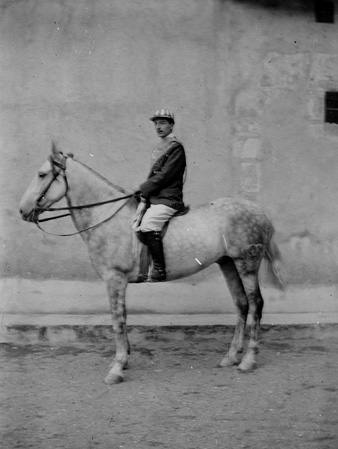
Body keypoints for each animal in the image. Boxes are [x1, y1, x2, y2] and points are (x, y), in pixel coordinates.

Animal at [19, 142, 286, 384]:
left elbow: (118, 320)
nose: (22, 210)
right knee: (241, 304)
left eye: (42, 174)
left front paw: (117, 368)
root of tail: (257, 210)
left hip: (246, 264)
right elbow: (121, 319)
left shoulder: (114, 279)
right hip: (228, 263)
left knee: (256, 304)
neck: (107, 218)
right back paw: (230, 357)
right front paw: (123, 360)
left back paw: (248, 360)